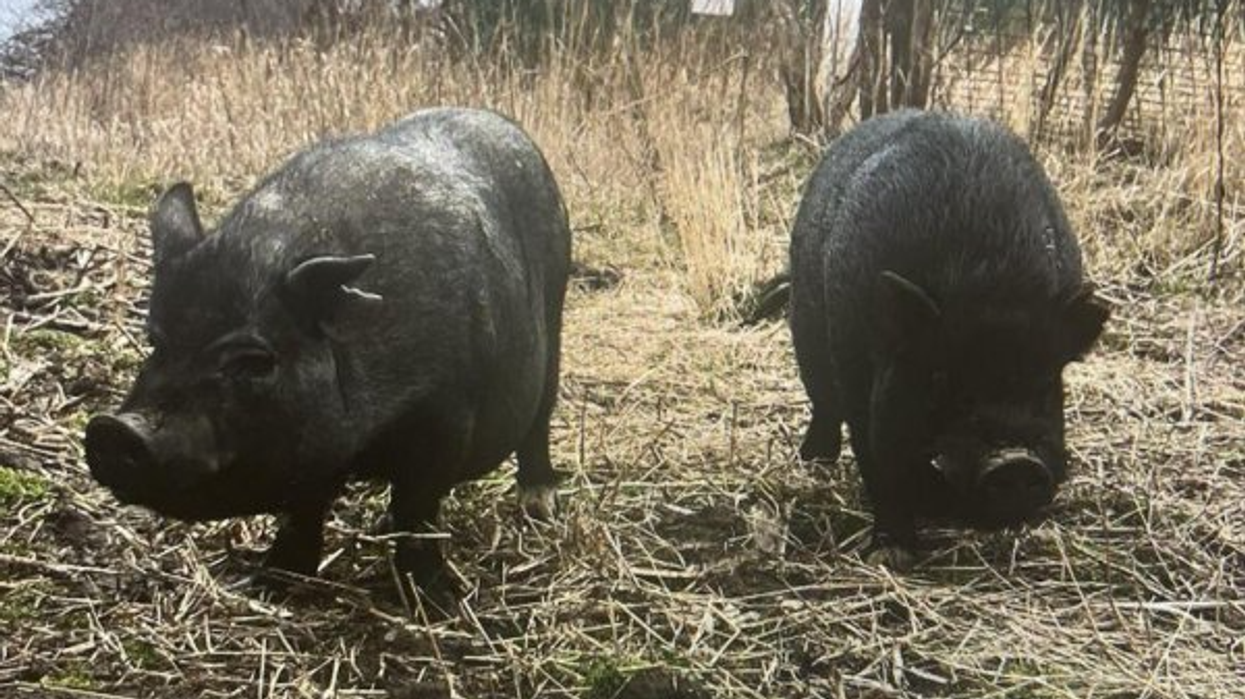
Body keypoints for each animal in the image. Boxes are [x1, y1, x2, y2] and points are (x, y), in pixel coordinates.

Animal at [85, 108, 571, 593]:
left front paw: (436, 597)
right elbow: (302, 509)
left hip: (555, 306)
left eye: (254, 362)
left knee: (540, 415)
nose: (114, 428)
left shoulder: (448, 415)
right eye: (156, 340)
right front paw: (273, 581)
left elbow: (417, 510)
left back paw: (540, 506)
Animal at [788, 110, 1109, 567]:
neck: (989, 279)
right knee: (823, 403)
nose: (1014, 461)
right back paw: (814, 460)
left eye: (1047, 381)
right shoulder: (857, 373)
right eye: (939, 379)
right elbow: (877, 461)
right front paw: (892, 554)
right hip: (806, 328)